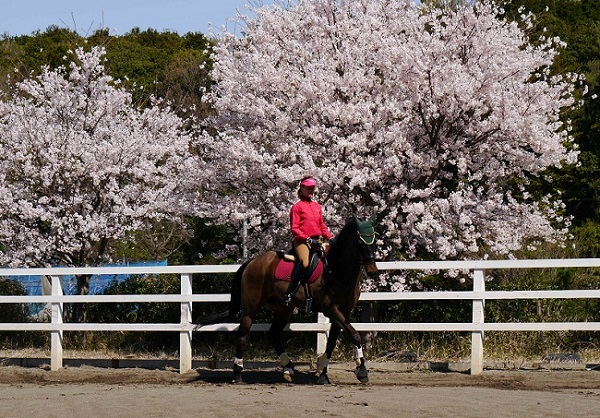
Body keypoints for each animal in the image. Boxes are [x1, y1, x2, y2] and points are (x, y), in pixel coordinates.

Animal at [213, 217, 378, 384]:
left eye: (374, 242)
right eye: (361, 243)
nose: (373, 272)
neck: (337, 270)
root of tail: (252, 261)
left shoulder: (343, 311)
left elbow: (333, 342)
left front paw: (323, 374)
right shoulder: (330, 309)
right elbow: (355, 335)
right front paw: (362, 371)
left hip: (283, 309)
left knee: (273, 335)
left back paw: (288, 369)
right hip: (250, 309)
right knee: (242, 336)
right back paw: (238, 373)